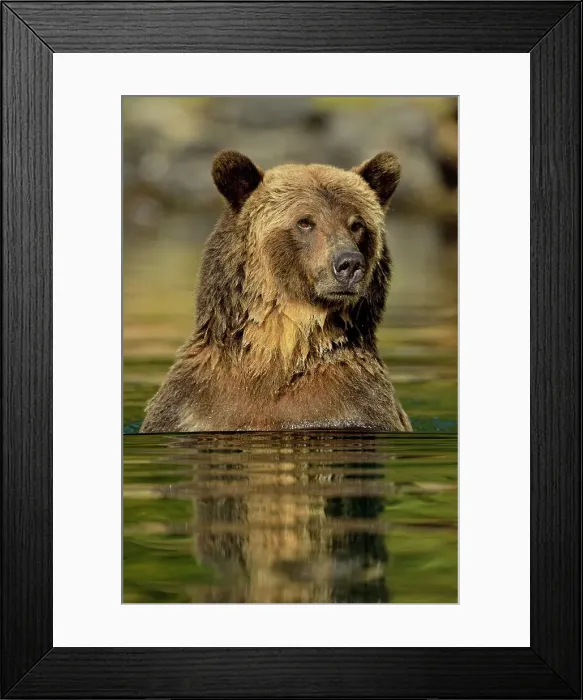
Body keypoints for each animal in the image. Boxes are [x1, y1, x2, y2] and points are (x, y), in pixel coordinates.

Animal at [140, 150, 412, 433]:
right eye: (305, 222)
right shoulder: (193, 404)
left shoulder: (354, 403)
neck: (277, 350)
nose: (349, 264)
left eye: (357, 224)